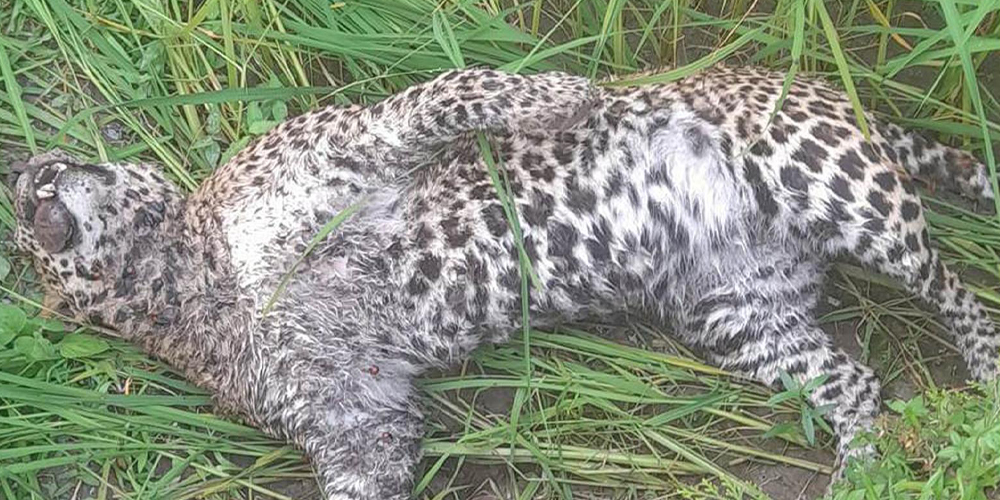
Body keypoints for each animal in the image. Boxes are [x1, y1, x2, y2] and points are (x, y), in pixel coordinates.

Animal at [6, 66, 998, 499]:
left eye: (58, 160)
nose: (27, 178)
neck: (184, 289)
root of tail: (836, 94)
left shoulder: (354, 144)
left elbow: (454, 91)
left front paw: (573, 96)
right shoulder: (362, 419)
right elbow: (364, 473)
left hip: (836, 186)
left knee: (960, 292)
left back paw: (982, 377)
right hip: (738, 312)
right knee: (858, 384)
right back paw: (866, 474)